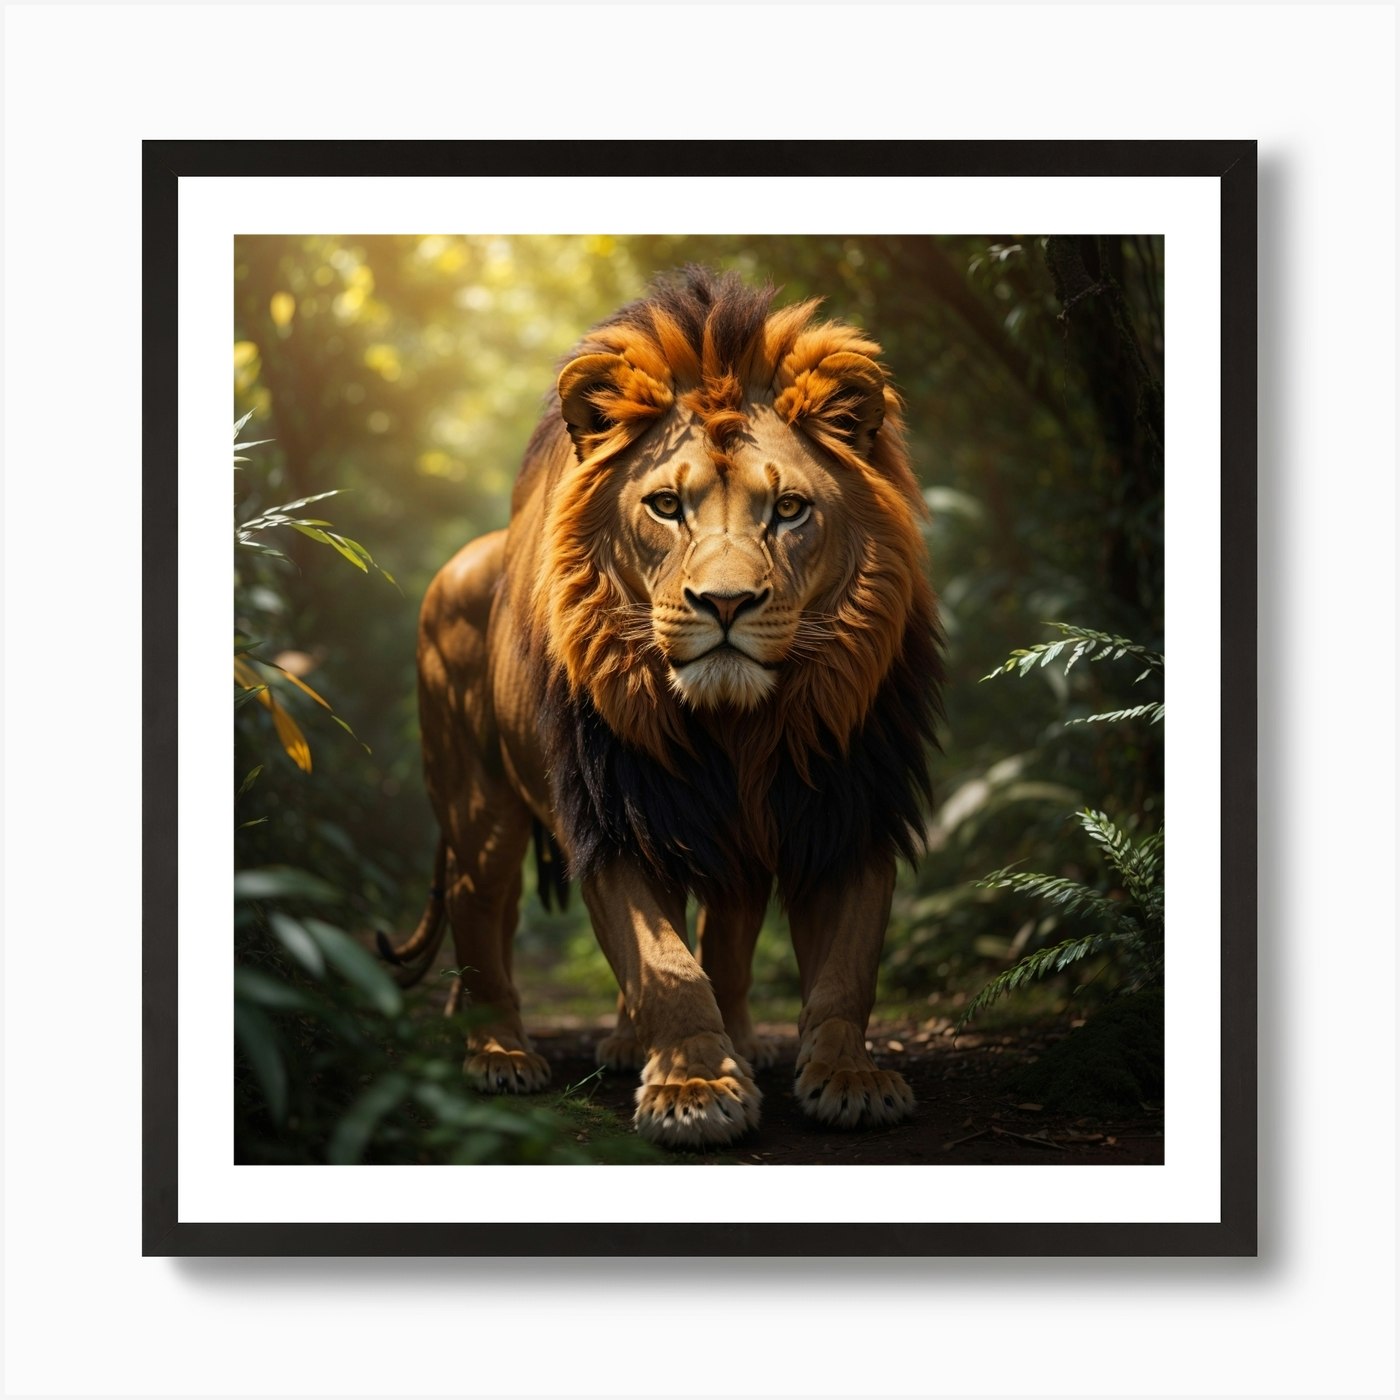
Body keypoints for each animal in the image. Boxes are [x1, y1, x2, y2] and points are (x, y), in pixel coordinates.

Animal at [379, 267, 943, 1148]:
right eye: (667, 506)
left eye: (789, 510)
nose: (725, 603)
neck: (740, 727)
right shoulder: (618, 812)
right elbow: (666, 967)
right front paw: (696, 1089)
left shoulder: (846, 802)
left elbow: (845, 966)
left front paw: (849, 1076)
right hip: (480, 806)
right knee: (482, 911)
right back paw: (498, 1051)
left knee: (725, 931)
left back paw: (672, 1042)